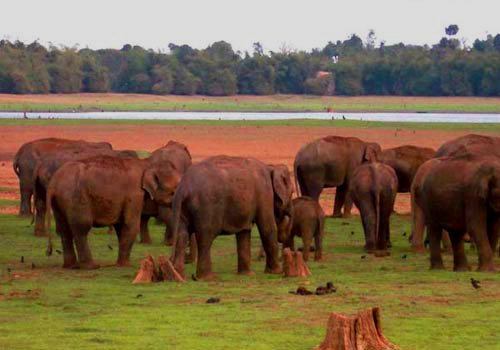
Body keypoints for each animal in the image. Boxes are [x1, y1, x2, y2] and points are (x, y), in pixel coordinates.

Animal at [46, 155, 181, 268]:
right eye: (173, 191)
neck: (146, 164)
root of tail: (53, 183)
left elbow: (121, 226)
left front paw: (121, 264)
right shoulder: (134, 194)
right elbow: (130, 225)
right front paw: (125, 265)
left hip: (59, 202)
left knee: (64, 229)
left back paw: (70, 266)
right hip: (76, 199)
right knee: (81, 228)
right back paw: (91, 266)